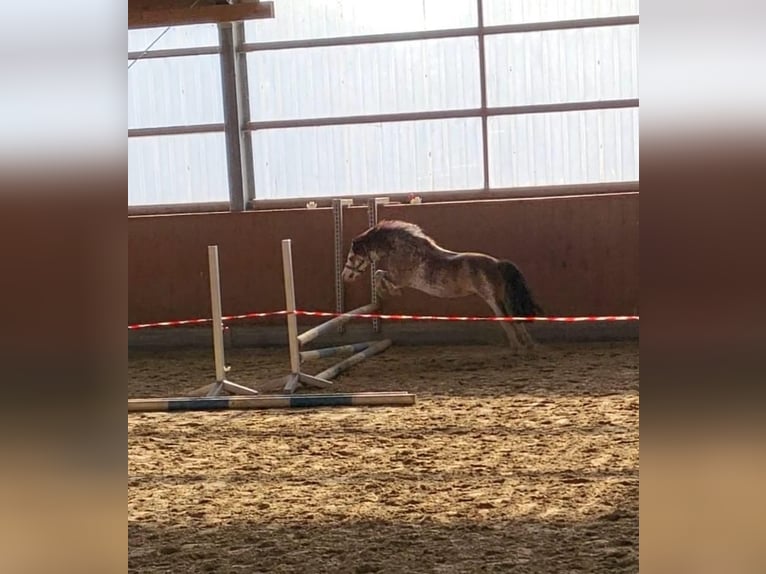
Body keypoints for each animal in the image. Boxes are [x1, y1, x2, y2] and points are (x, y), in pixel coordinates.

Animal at [341, 220, 543, 350]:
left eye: (351, 257)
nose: (345, 276)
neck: (403, 250)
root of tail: (498, 263)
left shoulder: (400, 278)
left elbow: (379, 275)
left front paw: (389, 292)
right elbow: (379, 275)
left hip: (492, 298)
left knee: (505, 318)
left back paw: (516, 346)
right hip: (503, 297)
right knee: (515, 317)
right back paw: (528, 344)